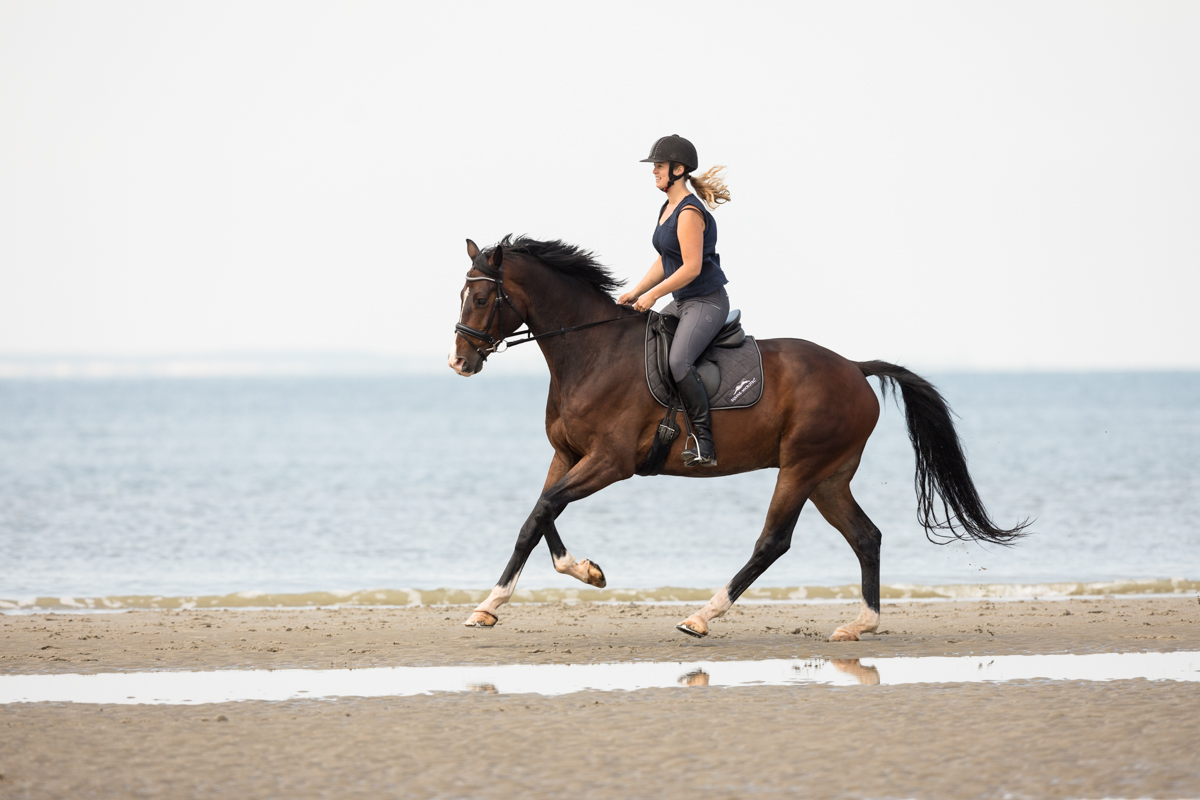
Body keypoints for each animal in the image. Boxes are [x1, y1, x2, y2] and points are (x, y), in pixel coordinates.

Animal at [448, 235, 1027, 641]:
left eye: (481, 296)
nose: (459, 361)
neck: (591, 351)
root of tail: (855, 369)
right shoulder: (567, 454)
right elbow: (538, 513)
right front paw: (571, 576)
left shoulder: (609, 462)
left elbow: (544, 508)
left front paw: (497, 602)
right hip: (829, 477)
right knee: (866, 537)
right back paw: (860, 624)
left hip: (801, 467)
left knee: (774, 541)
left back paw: (702, 617)